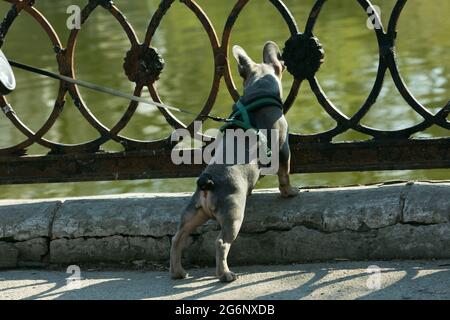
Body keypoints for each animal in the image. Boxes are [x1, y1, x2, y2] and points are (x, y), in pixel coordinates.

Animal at [170, 40, 298, 282]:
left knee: (178, 238)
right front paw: (290, 192)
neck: (257, 93)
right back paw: (225, 274)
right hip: (234, 215)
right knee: (221, 243)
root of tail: (207, 183)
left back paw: (178, 272)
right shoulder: (283, 148)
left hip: (193, 214)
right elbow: (284, 174)